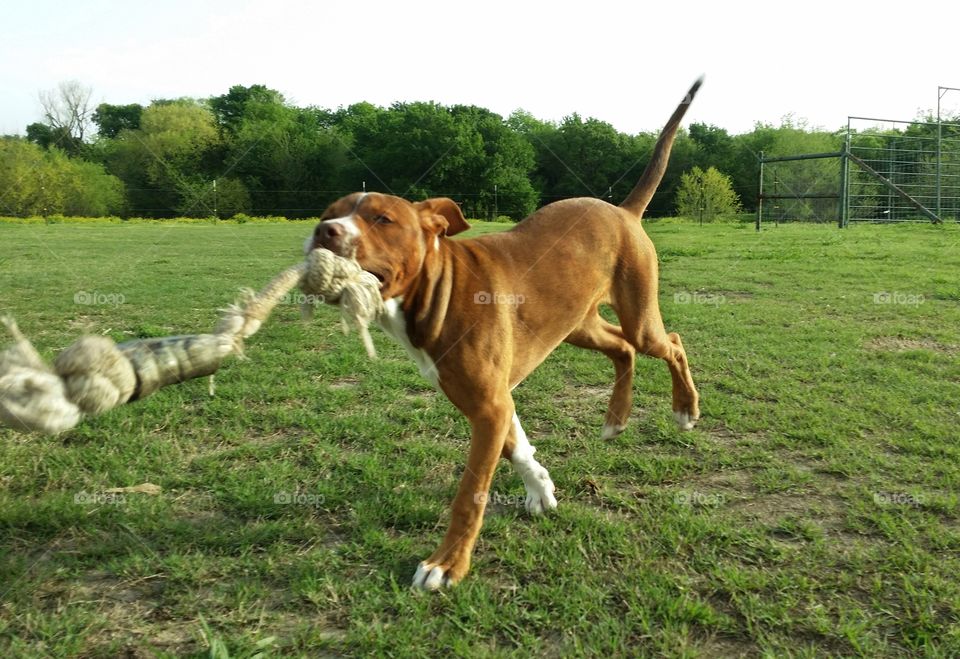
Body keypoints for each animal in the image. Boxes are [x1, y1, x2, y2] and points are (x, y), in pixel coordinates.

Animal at [312, 80, 700, 592]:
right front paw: (541, 489)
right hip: (579, 325)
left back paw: (685, 408)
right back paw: (616, 418)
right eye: (327, 213)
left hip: (640, 317)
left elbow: (471, 491)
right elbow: (519, 449)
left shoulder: (488, 407)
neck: (438, 288)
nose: (323, 231)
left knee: (670, 341)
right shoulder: (491, 402)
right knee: (622, 349)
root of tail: (623, 211)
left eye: (382, 219)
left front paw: (446, 564)